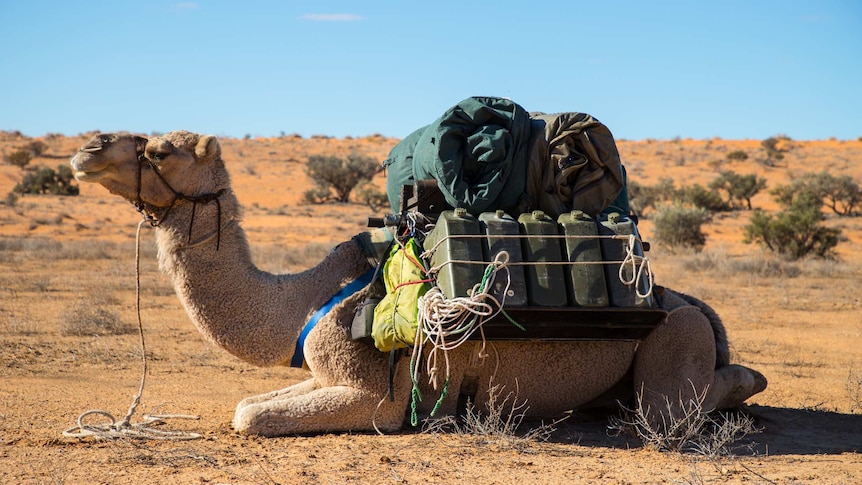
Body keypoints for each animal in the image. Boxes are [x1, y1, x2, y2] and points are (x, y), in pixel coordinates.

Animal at [69, 130, 768, 436]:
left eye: (160, 150)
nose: (87, 148)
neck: (299, 299)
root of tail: (699, 308)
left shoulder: (377, 399)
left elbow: (248, 414)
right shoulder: (322, 369)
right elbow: (249, 403)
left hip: (675, 338)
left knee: (678, 404)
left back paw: (745, 385)